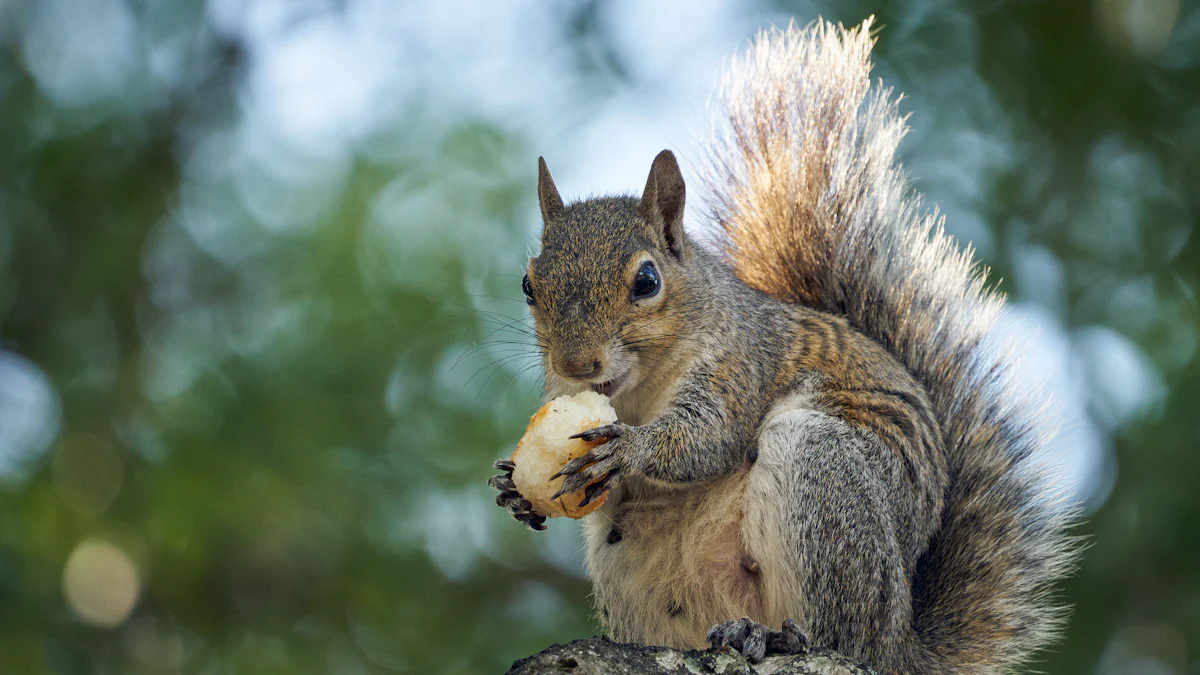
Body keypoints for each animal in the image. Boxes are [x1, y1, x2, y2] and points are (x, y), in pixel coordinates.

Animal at [487, 17, 1080, 672]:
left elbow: (707, 436)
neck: (639, 388)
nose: (577, 363)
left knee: (838, 632)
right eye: (528, 284)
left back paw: (776, 636)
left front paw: (631, 448)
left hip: (825, 484)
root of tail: (901, 644)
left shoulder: (741, 363)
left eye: (646, 281)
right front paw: (513, 485)